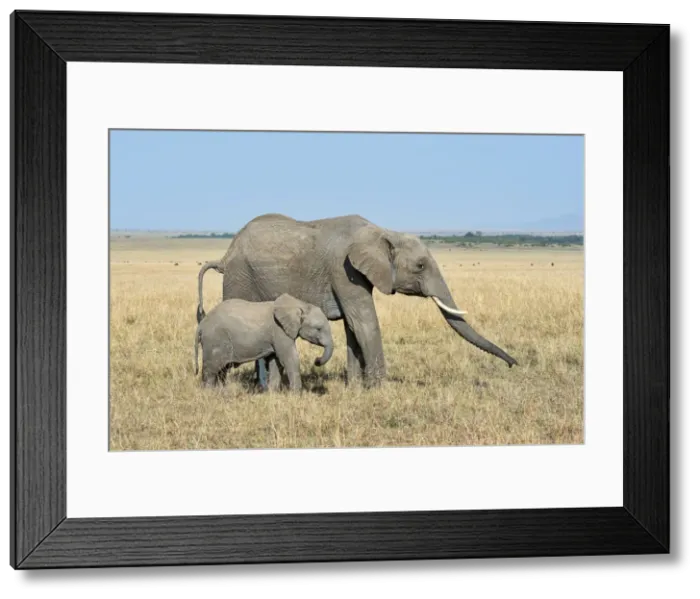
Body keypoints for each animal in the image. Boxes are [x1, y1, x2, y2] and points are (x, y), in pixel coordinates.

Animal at [193, 293, 334, 391]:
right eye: (318, 329)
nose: (316, 360)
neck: (300, 304)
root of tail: (201, 325)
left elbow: (275, 361)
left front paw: (271, 393)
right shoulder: (279, 331)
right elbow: (289, 358)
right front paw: (296, 395)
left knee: (221, 370)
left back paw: (221, 391)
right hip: (215, 340)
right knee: (212, 369)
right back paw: (210, 393)